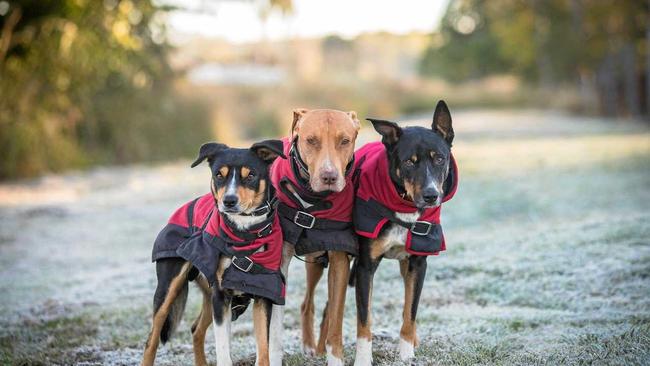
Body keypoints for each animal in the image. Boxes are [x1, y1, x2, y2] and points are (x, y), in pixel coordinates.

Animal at [143, 139, 284, 366]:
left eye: (251, 175)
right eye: (219, 175)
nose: (229, 200)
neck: (243, 233)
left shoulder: (262, 293)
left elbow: (263, 350)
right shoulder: (221, 295)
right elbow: (223, 350)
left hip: (207, 295)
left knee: (196, 330)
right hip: (168, 289)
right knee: (152, 339)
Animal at [268, 109, 362, 366]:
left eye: (344, 141)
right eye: (311, 140)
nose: (329, 176)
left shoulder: (339, 261)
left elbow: (336, 318)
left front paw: (335, 358)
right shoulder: (279, 260)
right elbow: (275, 323)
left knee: (325, 310)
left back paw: (318, 348)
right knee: (306, 304)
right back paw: (310, 346)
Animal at [350, 99, 456, 364]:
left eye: (440, 158)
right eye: (409, 161)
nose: (431, 195)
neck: (404, 208)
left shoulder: (418, 264)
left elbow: (411, 311)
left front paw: (407, 354)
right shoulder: (365, 266)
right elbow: (364, 319)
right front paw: (363, 359)